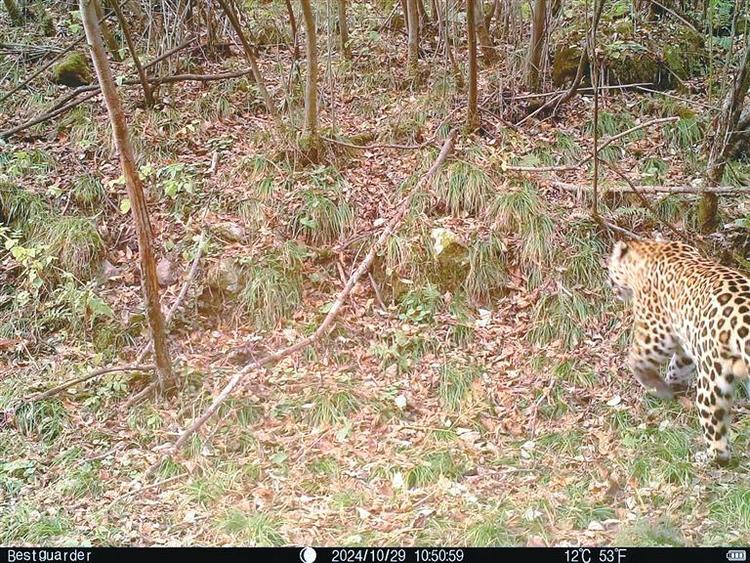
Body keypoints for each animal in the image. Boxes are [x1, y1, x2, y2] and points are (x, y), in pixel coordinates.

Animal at [612, 238, 750, 468]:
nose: (610, 284)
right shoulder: (686, 340)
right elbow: (678, 365)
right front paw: (672, 386)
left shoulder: (656, 332)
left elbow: (637, 358)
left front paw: (656, 387)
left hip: (712, 383)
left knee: (717, 437)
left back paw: (706, 458)